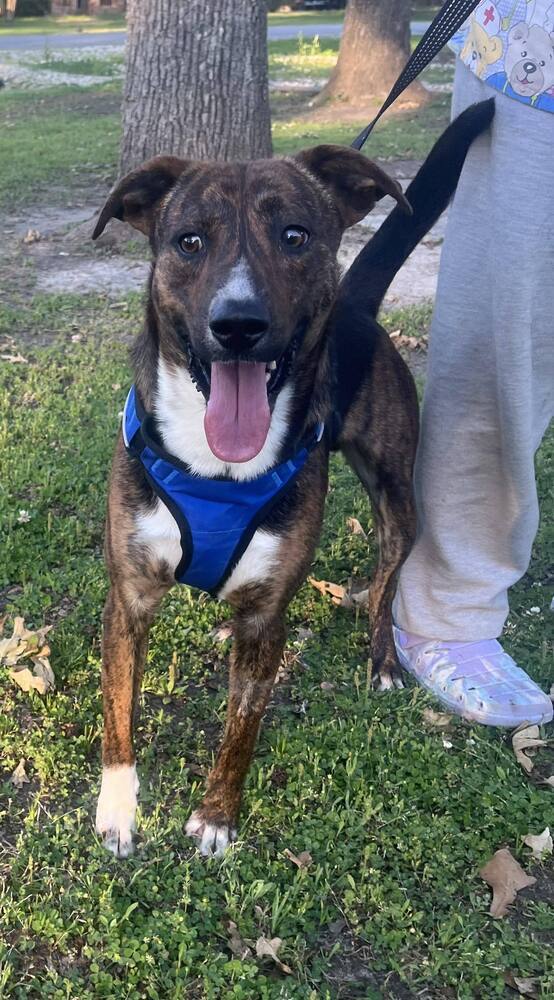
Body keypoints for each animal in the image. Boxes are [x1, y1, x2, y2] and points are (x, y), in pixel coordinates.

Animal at [89, 99, 492, 860]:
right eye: (189, 242)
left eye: (296, 236)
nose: (238, 325)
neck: (214, 465)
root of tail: (358, 305)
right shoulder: (128, 599)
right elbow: (118, 714)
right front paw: (119, 809)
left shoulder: (268, 618)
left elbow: (242, 727)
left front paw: (217, 817)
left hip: (396, 496)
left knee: (388, 578)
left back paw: (382, 659)